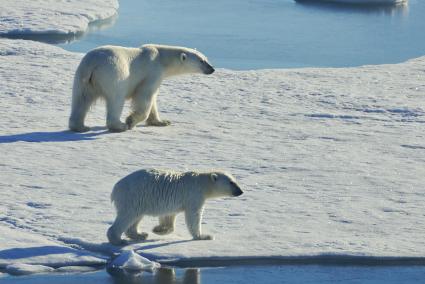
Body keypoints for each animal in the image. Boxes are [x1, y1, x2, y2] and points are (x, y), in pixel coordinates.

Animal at [71, 43, 215, 133]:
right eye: (202, 61)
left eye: (206, 58)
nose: (212, 69)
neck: (161, 58)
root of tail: (92, 64)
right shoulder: (152, 71)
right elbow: (145, 95)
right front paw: (131, 121)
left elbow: (153, 101)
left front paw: (162, 122)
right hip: (114, 73)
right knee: (116, 99)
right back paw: (120, 126)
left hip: (83, 79)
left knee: (81, 100)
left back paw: (80, 127)